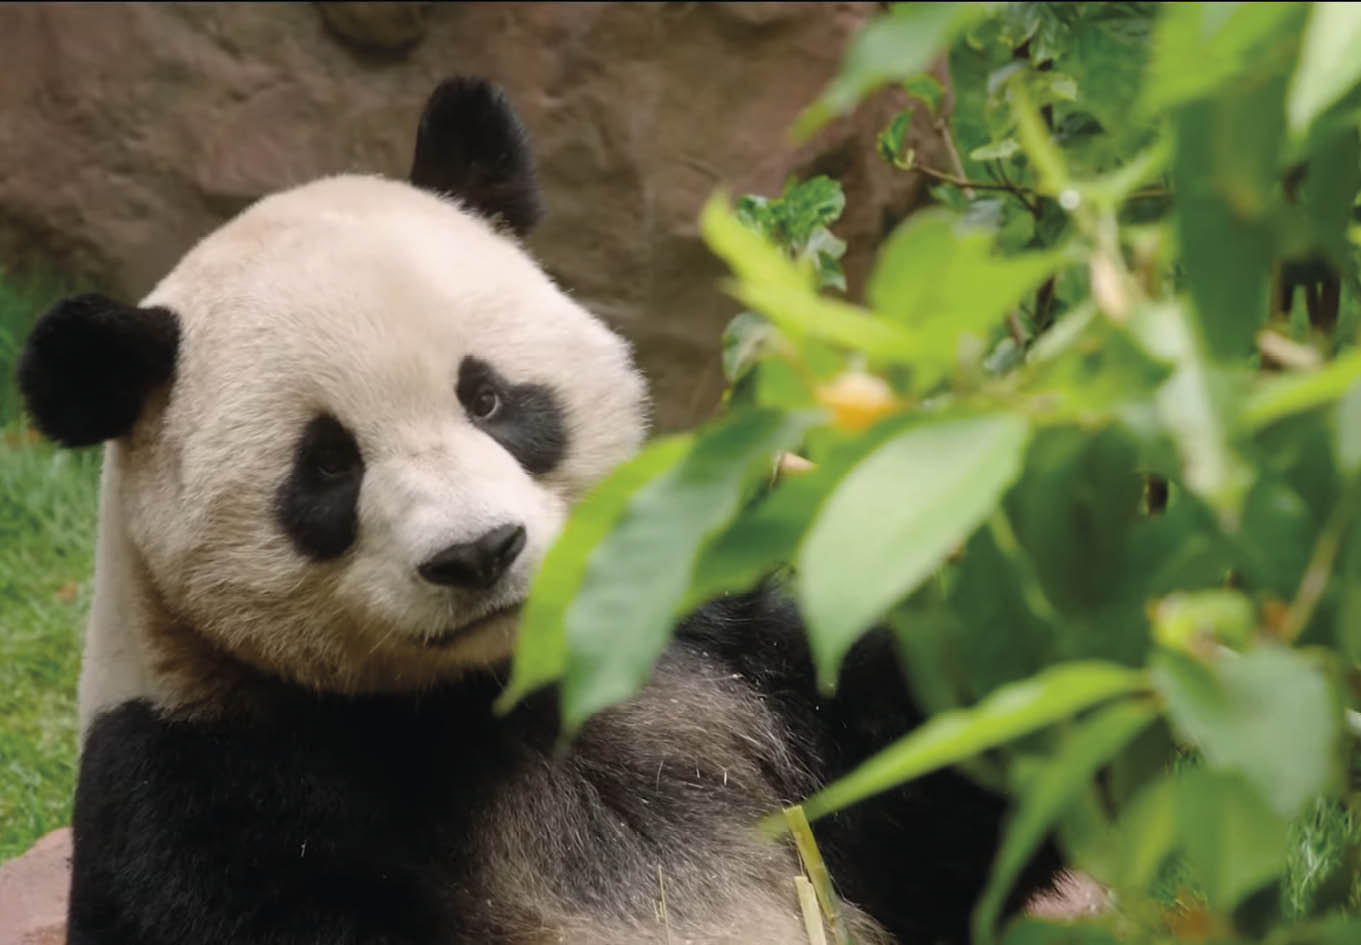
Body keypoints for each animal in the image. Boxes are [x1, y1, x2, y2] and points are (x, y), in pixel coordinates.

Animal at [18, 78, 1057, 945]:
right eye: (327, 466)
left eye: (487, 397)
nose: (479, 551)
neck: (497, 689)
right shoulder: (204, 777)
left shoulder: (708, 655)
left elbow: (941, 783)